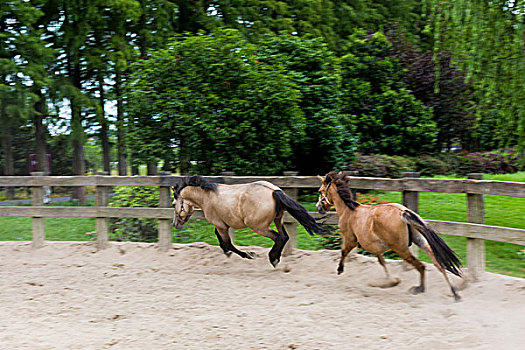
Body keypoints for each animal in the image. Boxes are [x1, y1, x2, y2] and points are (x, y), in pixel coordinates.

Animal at [171, 175, 324, 268]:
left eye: (173, 204)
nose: (175, 224)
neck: (207, 197)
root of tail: (274, 191)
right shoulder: (223, 225)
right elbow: (221, 240)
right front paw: (228, 252)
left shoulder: (220, 225)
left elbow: (228, 243)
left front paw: (248, 255)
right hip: (278, 219)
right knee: (285, 236)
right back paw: (276, 259)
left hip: (259, 226)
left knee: (279, 237)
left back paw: (272, 259)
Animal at [316, 171, 458, 300]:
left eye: (320, 191)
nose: (318, 207)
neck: (348, 211)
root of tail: (403, 211)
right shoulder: (375, 247)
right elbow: (382, 261)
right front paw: (390, 281)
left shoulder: (351, 239)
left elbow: (344, 251)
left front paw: (340, 269)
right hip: (420, 241)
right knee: (438, 264)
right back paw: (455, 293)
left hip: (401, 248)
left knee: (421, 266)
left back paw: (419, 288)